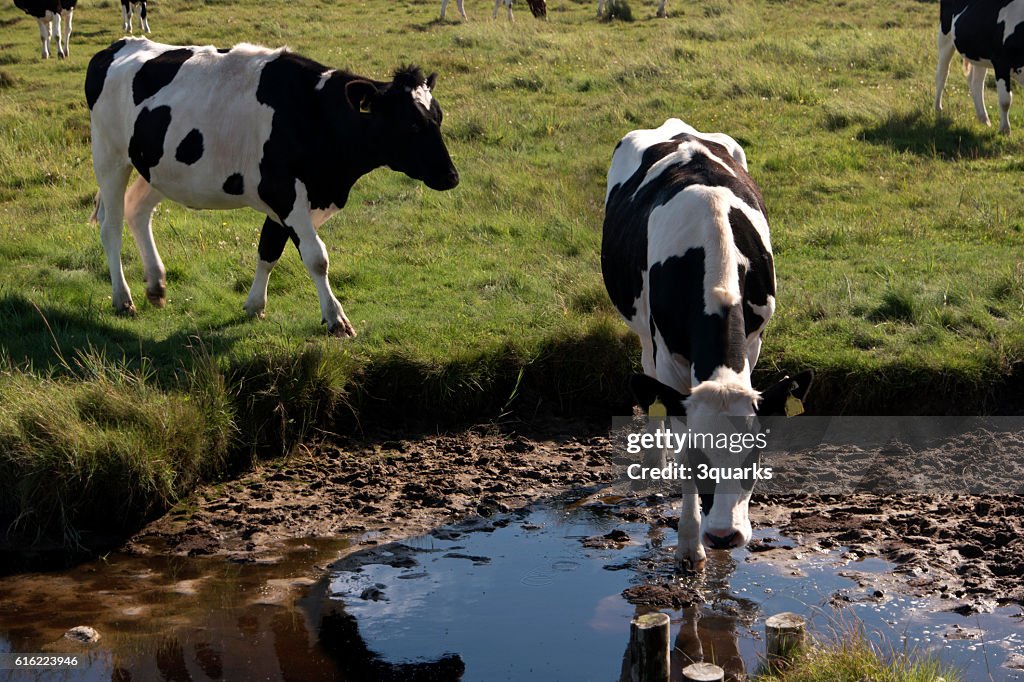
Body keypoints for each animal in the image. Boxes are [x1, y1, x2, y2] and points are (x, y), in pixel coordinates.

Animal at [602, 118, 811, 569]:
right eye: (700, 462)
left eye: (753, 459)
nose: (724, 536)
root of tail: (677, 127)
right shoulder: (670, 364)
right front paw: (689, 545)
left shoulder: (753, 344)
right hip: (644, 332)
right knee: (648, 382)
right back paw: (654, 461)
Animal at [937, 0, 1024, 134]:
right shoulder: (1001, 62)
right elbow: (1005, 100)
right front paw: (1005, 130)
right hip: (945, 37)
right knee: (942, 74)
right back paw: (938, 109)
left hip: (979, 54)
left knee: (976, 82)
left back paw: (984, 119)